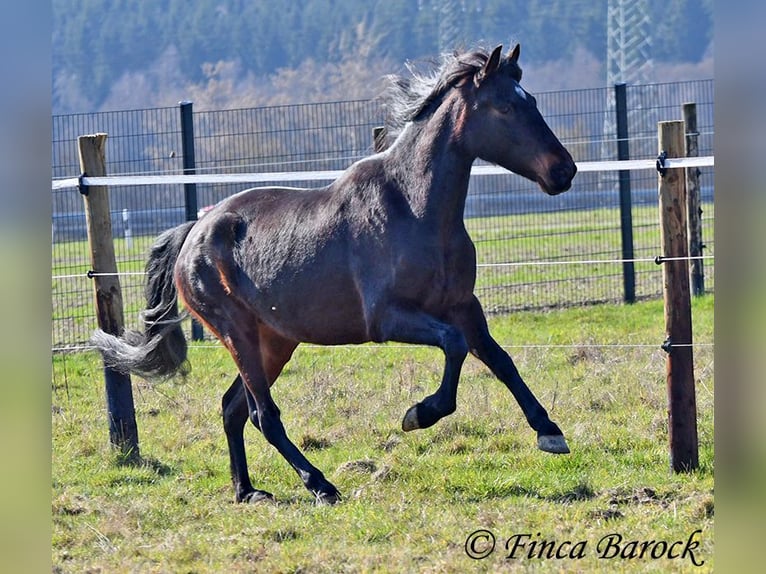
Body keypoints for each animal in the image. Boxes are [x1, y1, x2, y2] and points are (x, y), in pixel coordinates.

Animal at [92, 44, 577, 504]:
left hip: (275, 341)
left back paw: (247, 491)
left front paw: (549, 431)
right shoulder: (388, 319)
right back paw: (320, 485)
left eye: (531, 99)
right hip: (237, 333)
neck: (415, 208)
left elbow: (500, 359)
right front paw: (418, 414)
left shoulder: (462, 306)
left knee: (233, 408)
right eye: (504, 107)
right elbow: (455, 347)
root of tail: (195, 229)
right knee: (262, 414)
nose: (564, 170)